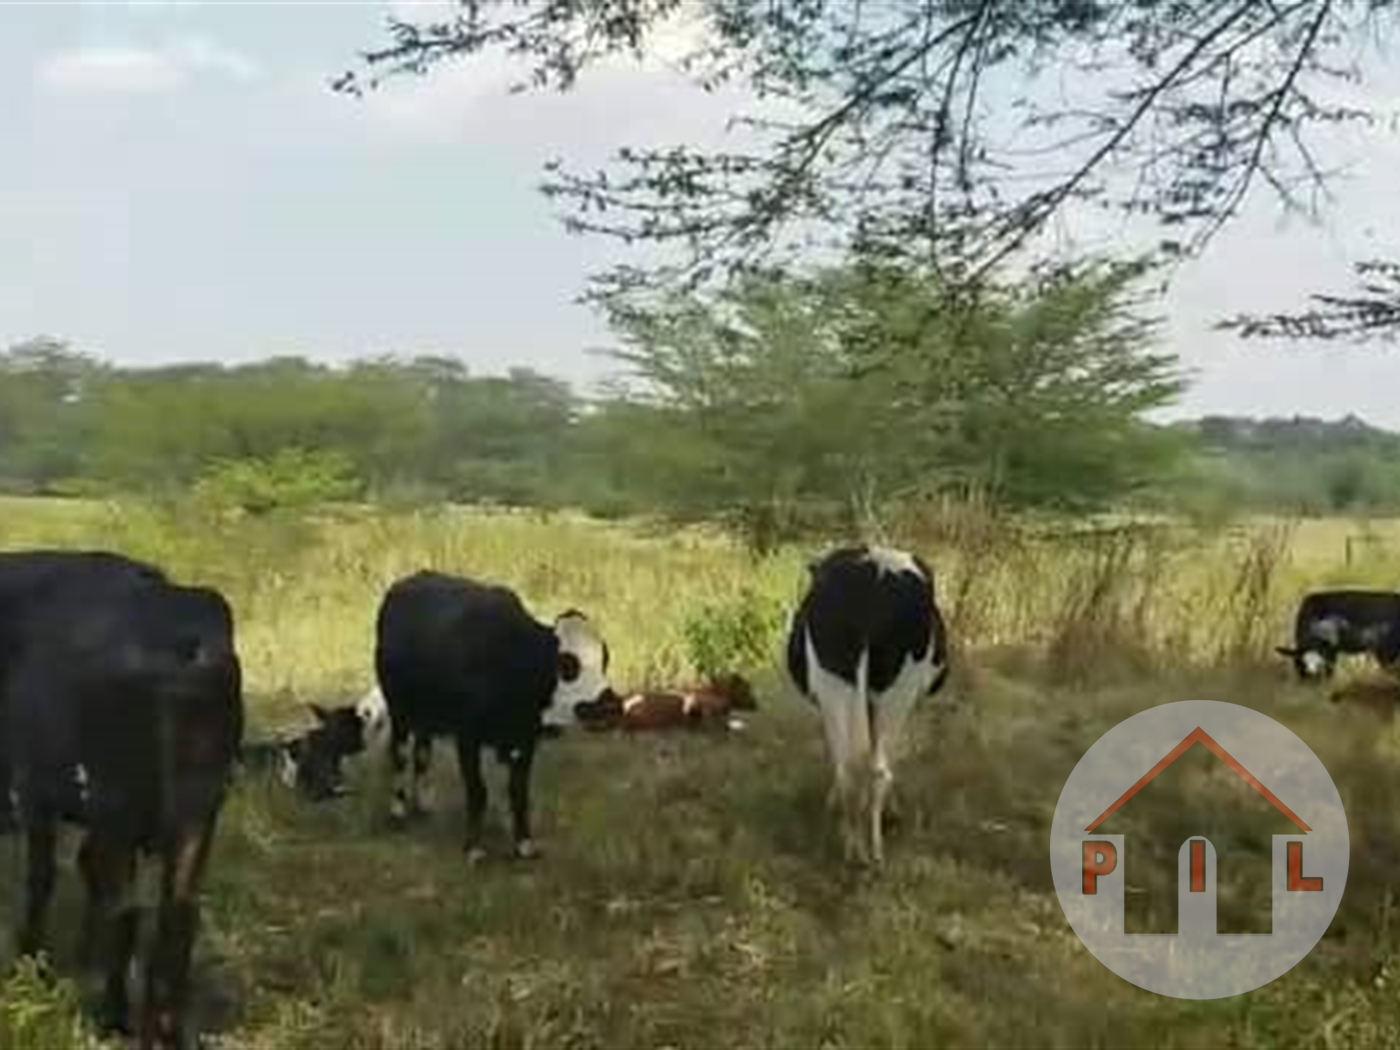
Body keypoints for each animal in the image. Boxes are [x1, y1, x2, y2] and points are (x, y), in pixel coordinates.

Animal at [6, 568, 243, 1050]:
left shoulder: (37, 789)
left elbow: (43, 877)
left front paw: (32, 966)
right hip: (197, 810)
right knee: (175, 914)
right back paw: (165, 1031)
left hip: (119, 805)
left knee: (125, 911)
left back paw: (112, 1018)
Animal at [372, 576, 618, 862]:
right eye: (568, 665)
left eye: (605, 659)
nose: (611, 706)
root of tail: (404, 584)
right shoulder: (467, 738)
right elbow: (478, 792)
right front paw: (473, 849)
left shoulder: (525, 740)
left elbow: (518, 792)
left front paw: (523, 844)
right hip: (399, 710)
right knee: (399, 754)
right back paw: (398, 809)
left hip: (427, 714)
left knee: (422, 751)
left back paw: (422, 802)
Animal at [789, 546, 952, 868]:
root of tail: (873, 577)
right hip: (897, 691)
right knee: (877, 768)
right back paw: (873, 851)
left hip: (836, 683)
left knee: (850, 766)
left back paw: (855, 847)